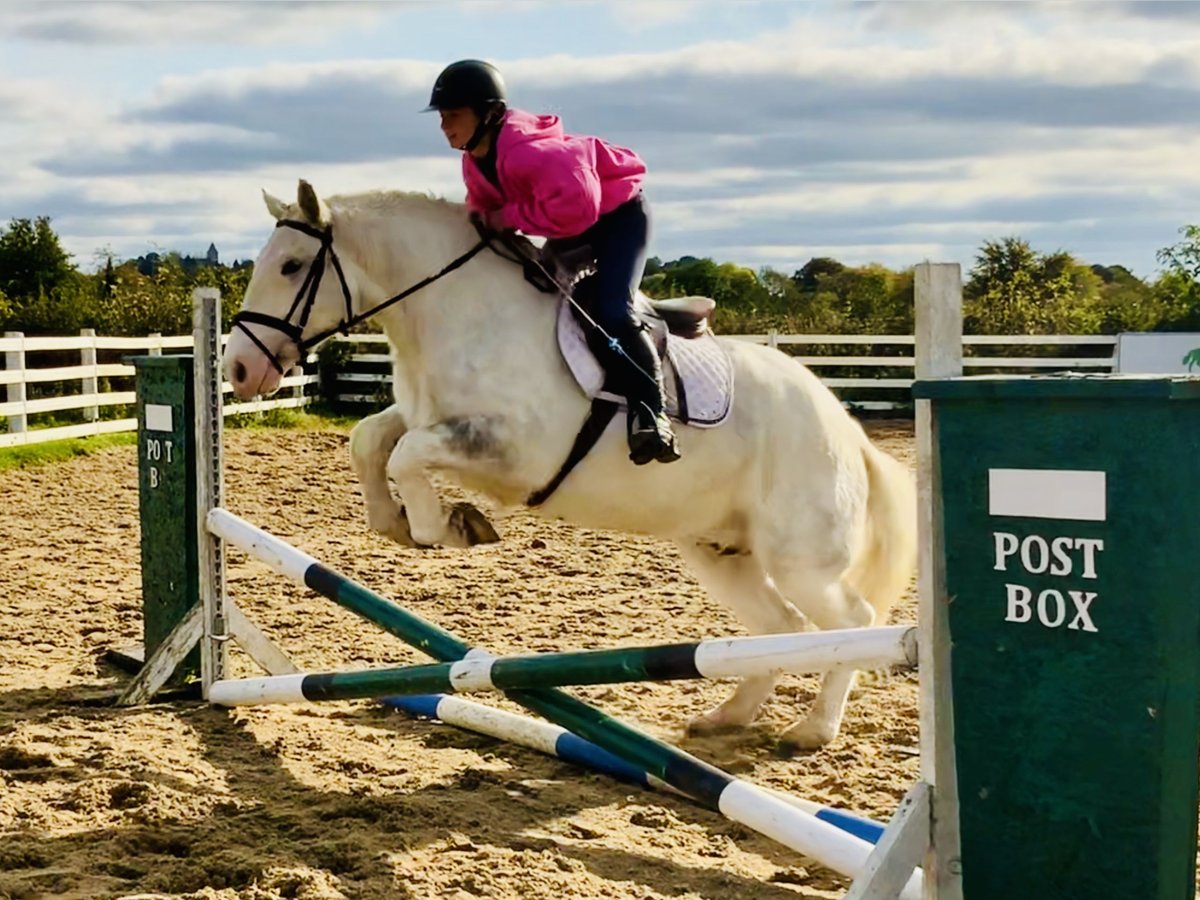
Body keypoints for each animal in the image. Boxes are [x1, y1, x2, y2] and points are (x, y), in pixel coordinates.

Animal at [226, 177, 916, 753]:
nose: (238, 368)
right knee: (782, 626)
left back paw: (812, 731)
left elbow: (408, 454)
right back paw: (728, 716)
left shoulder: (513, 448)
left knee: (852, 622)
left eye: (291, 266)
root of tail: (847, 430)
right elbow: (371, 441)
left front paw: (448, 526)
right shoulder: (428, 415)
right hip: (721, 551)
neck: (459, 311)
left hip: (800, 557)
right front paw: (401, 523)